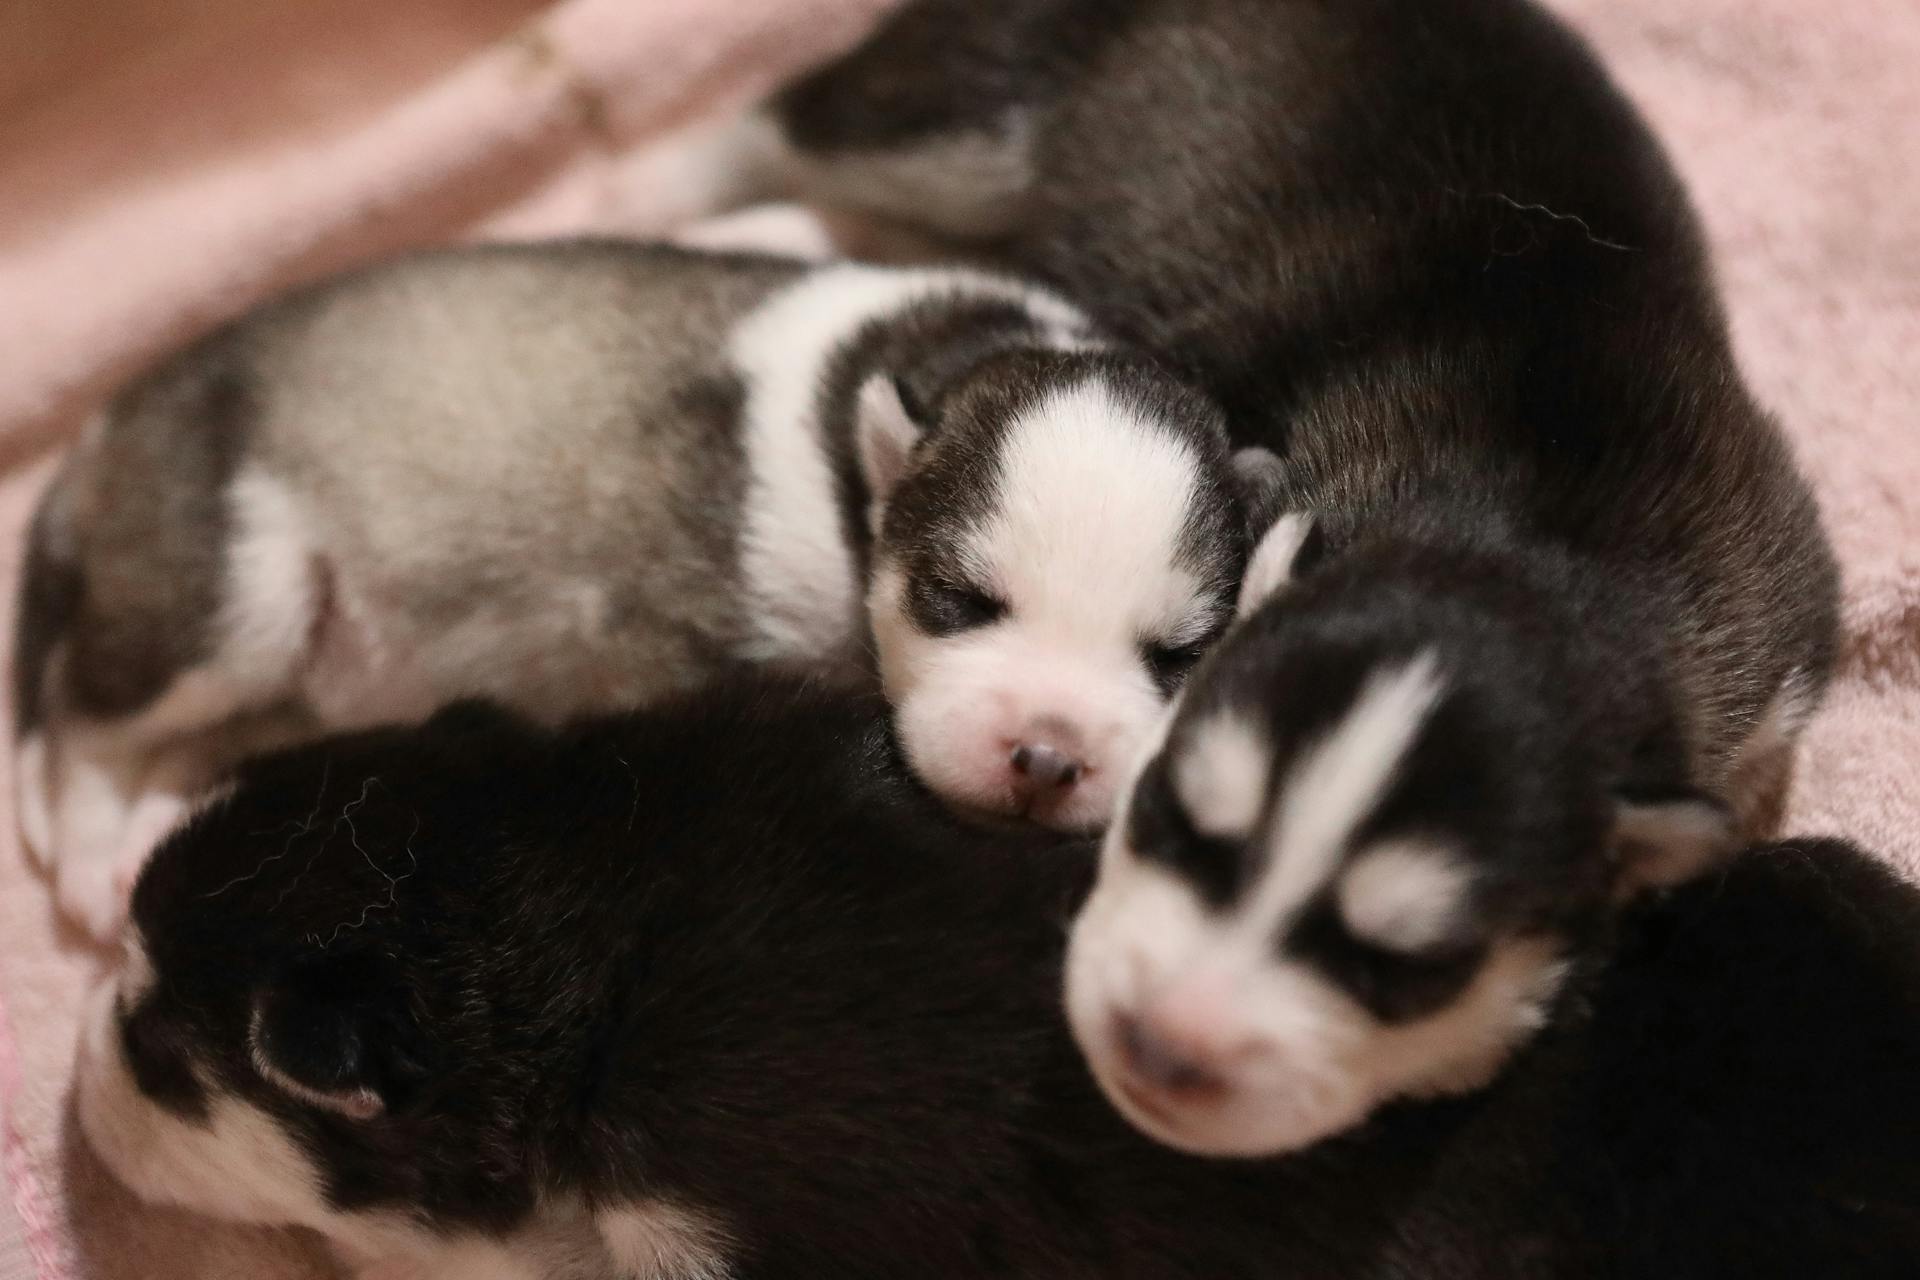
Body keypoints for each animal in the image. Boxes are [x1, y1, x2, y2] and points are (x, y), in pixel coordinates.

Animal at [18, 237, 1274, 940]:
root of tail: (103, 433)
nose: (1048, 758)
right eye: (957, 599)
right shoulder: (652, 641)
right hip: (227, 590)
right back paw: (93, 857)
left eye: (1176, 655)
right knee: (85, 719)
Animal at [721, 0, 1843, 1159]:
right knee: (773, 125)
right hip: (967, 103)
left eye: (1407, 971)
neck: (1536, 550)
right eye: (1163, 811)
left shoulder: (1773, 668)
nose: (1162, 1045)